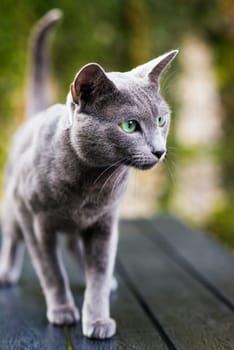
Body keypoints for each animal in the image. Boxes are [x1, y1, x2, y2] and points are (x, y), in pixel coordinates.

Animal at [0, 8, 177, 340]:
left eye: (161, 120)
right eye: (130, 126)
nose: (159, 151)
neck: (90, 184)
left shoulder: (105, 223)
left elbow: (99, 271)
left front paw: (97, 319)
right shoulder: (37, 223)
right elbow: (51, 271)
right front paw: (62, 311)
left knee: (75, 247)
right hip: (14, 209)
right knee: (12, 238)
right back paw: (6, 273)